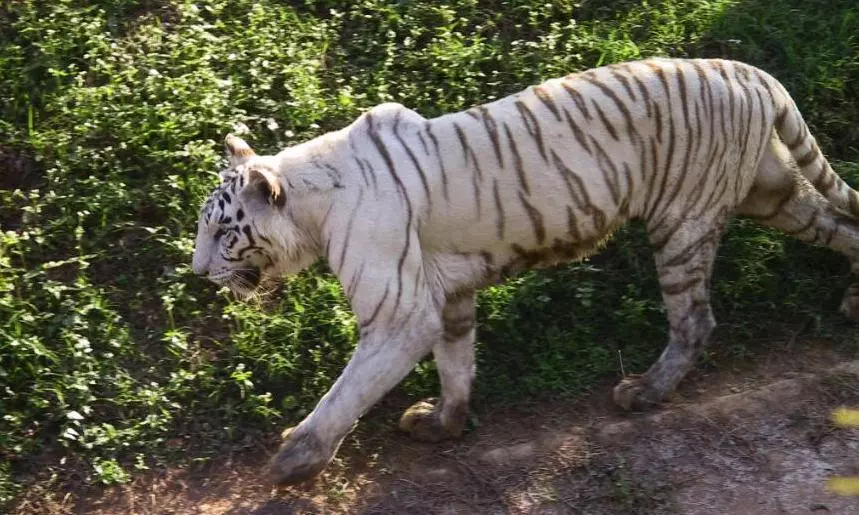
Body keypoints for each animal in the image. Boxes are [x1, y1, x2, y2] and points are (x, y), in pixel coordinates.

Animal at [191, 58, 859, 486]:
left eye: (223, 231)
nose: (197, 272)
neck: (311, 208)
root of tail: (750, 72)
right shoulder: (448, 295)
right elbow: (457, 361)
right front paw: (443, 423)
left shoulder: (400, 313)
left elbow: (347, 391)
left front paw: (294, 460)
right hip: (771, 194)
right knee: (840, 222)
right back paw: (854, 300)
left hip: (683, 223)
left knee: (695, 320)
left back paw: (645, 392)